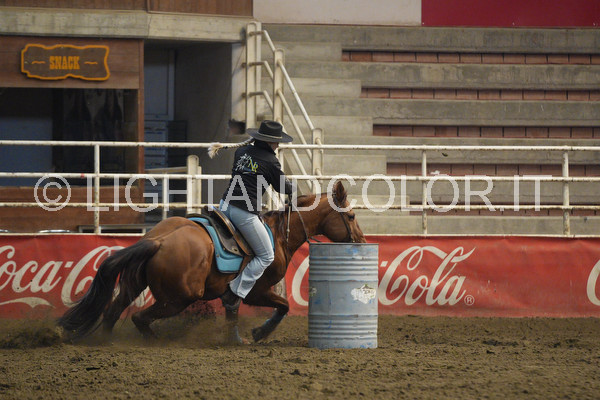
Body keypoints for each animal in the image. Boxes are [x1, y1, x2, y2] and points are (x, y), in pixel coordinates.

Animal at [58, 181, 366, 343]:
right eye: (351, 216)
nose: (362, 241)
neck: (279, 233)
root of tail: (159, 240)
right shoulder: (256, 290)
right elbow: (283, 306)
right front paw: (258, 332)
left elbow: (235, 310)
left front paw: (237, 338)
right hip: (178, 298)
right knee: (137, 317)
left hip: (134, 285)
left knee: (112, 312)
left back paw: (105, 342)